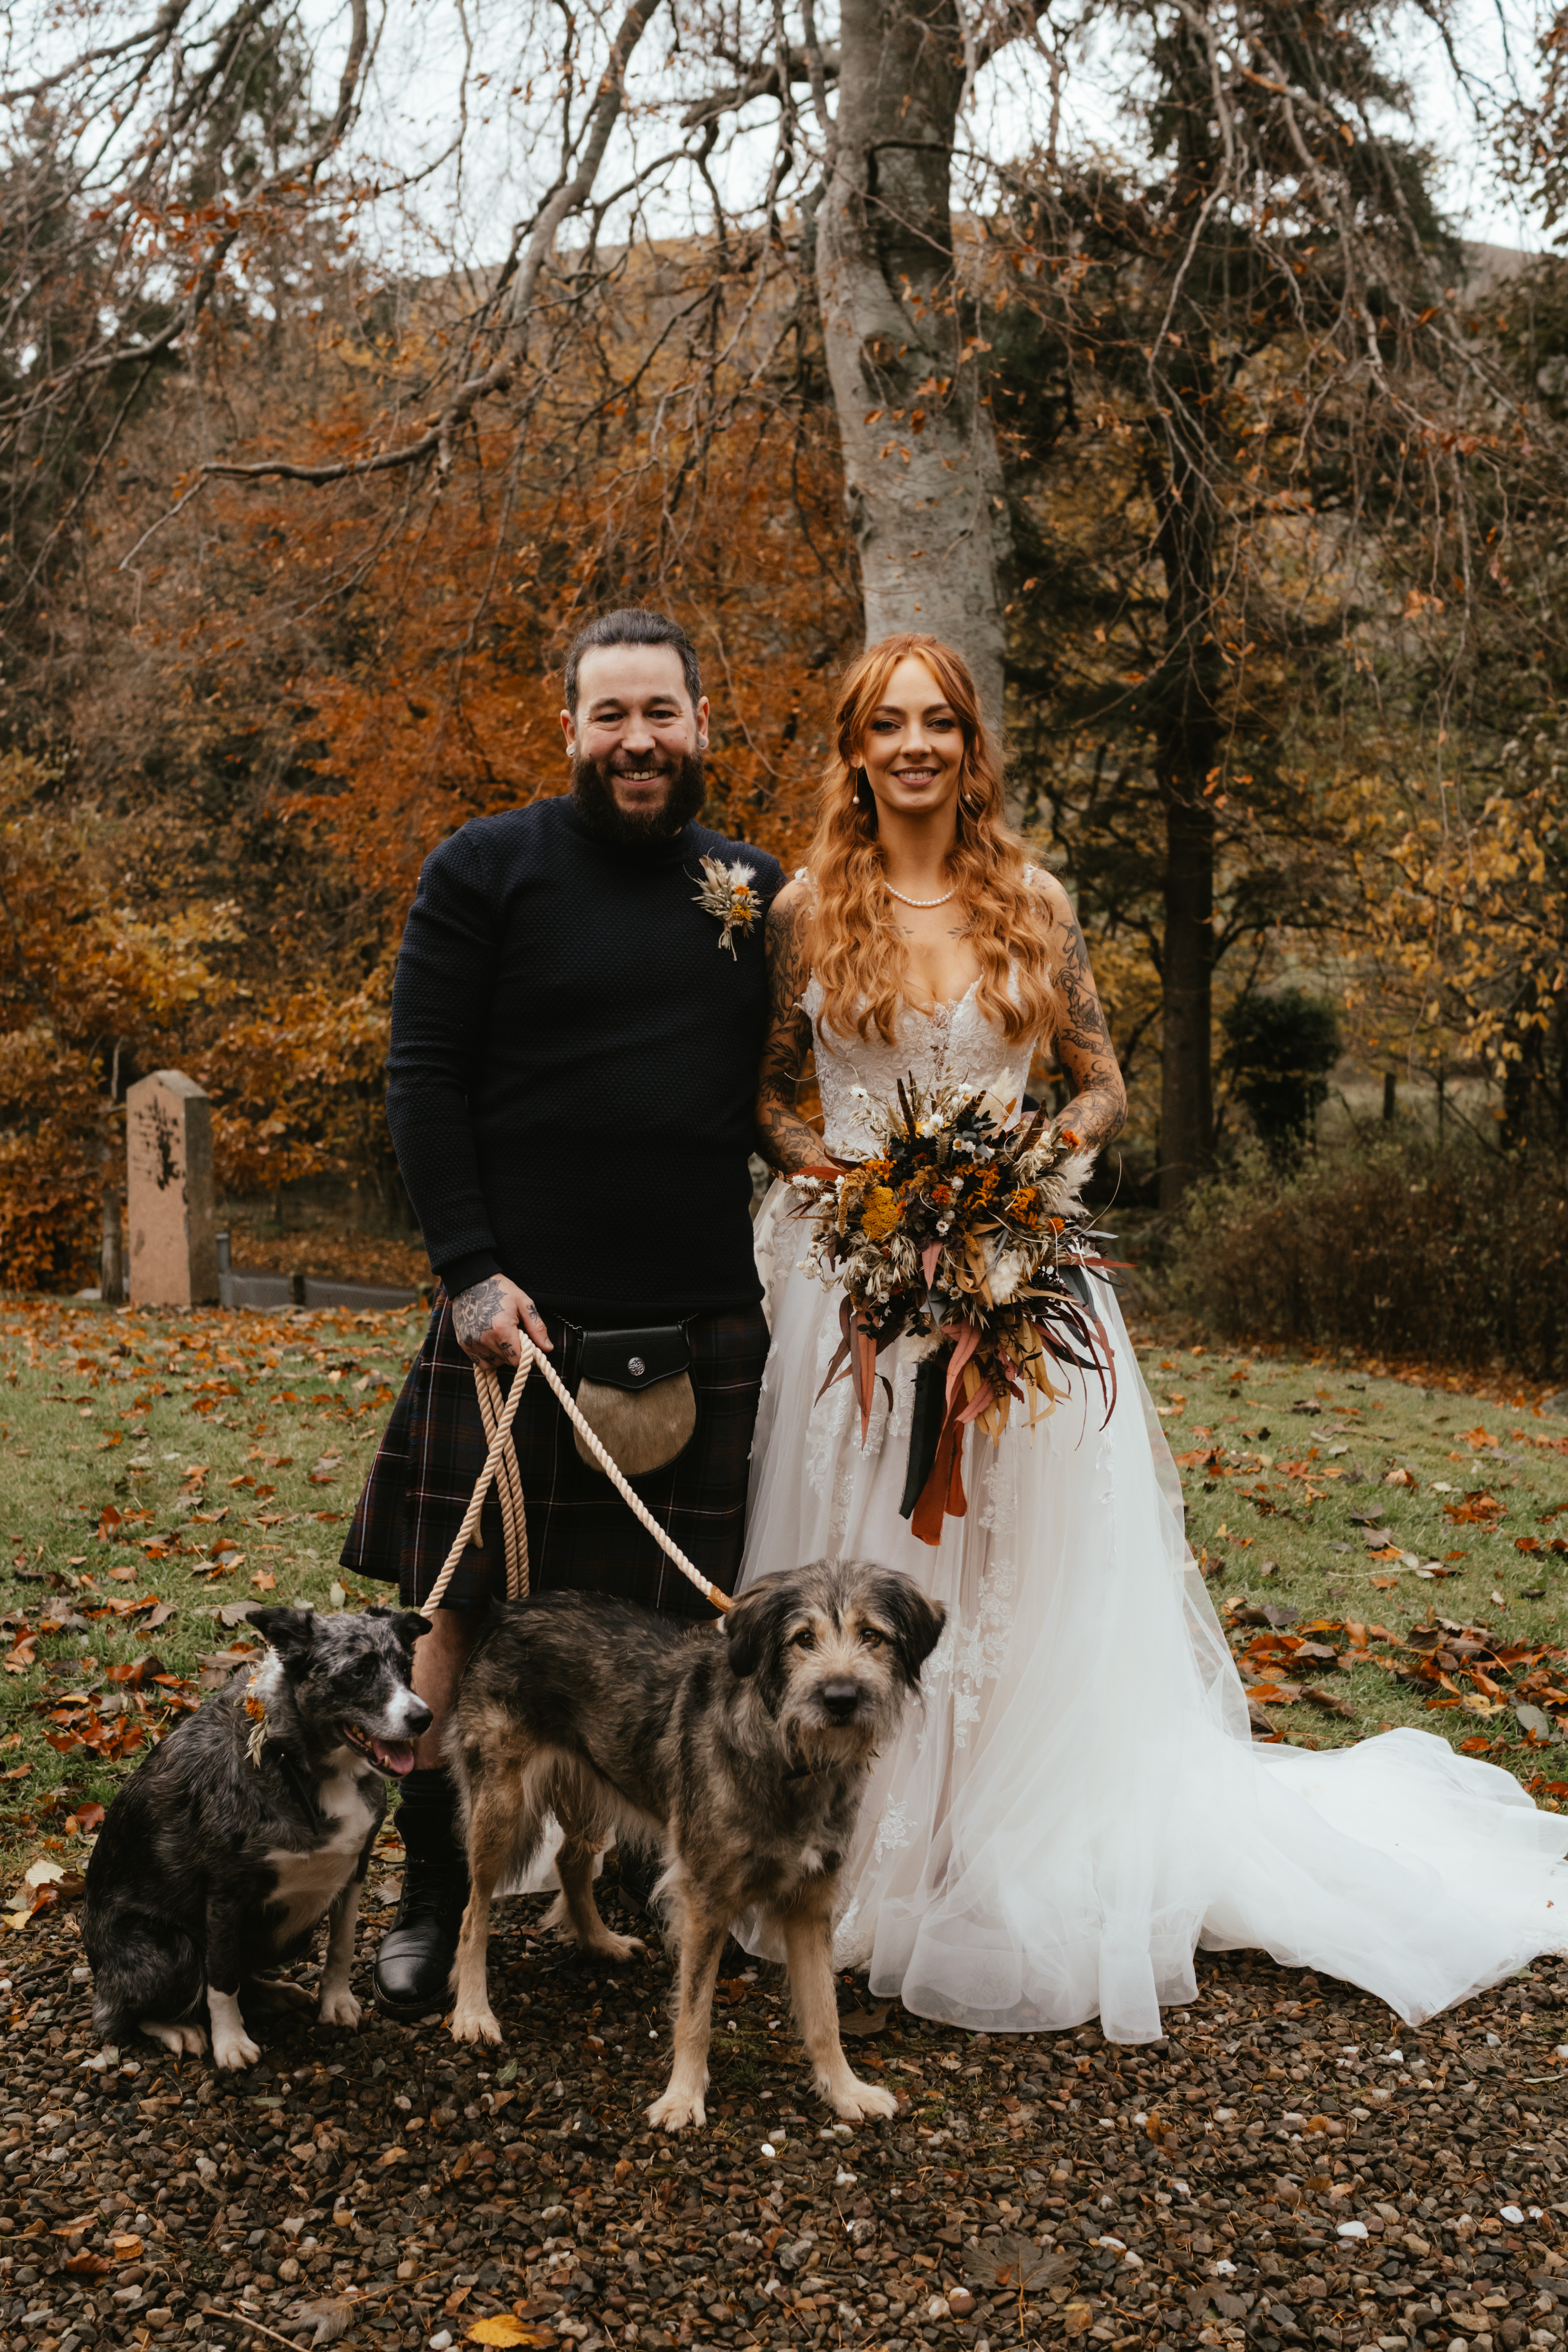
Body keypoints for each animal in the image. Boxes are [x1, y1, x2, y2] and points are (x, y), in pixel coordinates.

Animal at [447, 1562, 950, 2136]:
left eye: (872, 1635)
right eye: (803, 1639)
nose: (841, 1697)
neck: (790, 1756)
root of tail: (508, 1611)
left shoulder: (810, 1901)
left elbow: (824, 2012)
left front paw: (846, 2091)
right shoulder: (704, 1898)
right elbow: (695, 2013)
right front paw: (682, 2098)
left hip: (594, 1784)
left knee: (569, 1860)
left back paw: (600, 1941)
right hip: (501, 1810)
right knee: (473, 1913)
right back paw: (473, 2011)